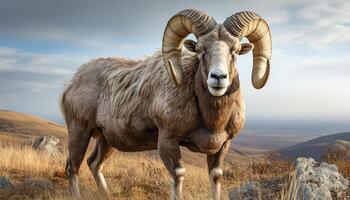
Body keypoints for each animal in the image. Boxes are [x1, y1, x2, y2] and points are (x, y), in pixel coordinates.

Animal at [61, 8, 272, 199]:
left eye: (235, 51)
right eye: (200, 50)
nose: (218, 77)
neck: (212, 122)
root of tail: (71, 83)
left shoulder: (222, 147)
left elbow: (215, 177)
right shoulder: (168, 141)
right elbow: (178, 176)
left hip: (106, 141)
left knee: (94, 164)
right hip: (80, 131)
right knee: (72, 167)